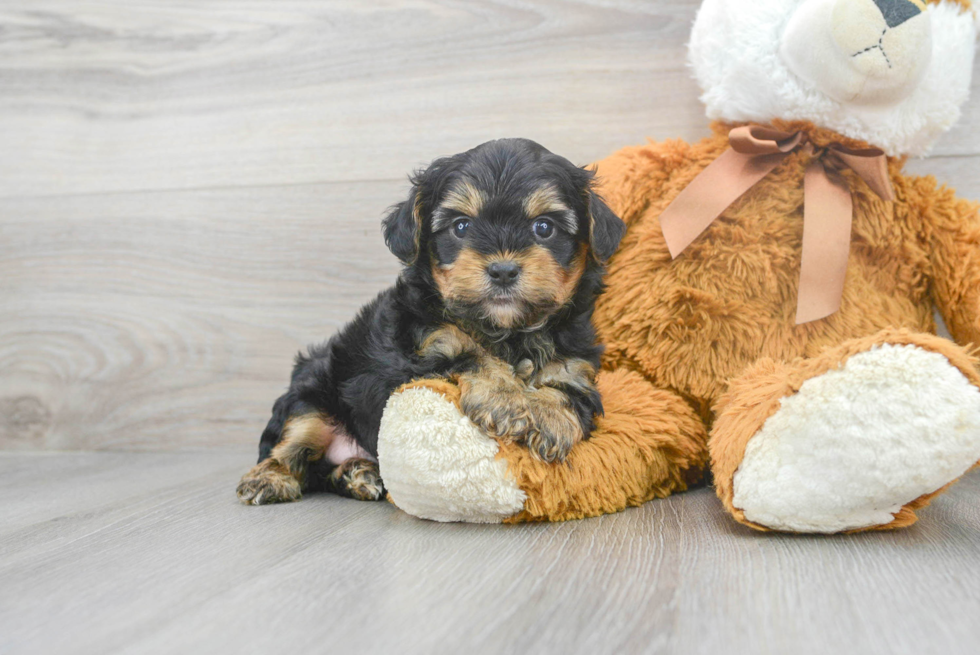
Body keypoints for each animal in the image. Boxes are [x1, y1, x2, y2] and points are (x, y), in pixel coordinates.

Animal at [234, 138, 624, 508]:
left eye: (544, 227)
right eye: (461, 227)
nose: (503, 270)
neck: (506, 329)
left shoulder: (576, 365)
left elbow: (566, 388)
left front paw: (549, 418)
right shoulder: (424, 351)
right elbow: (472, 354)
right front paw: (506, 401)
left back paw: (358, 474)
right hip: (312, 391)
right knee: (295, 440)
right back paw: (270, 478)